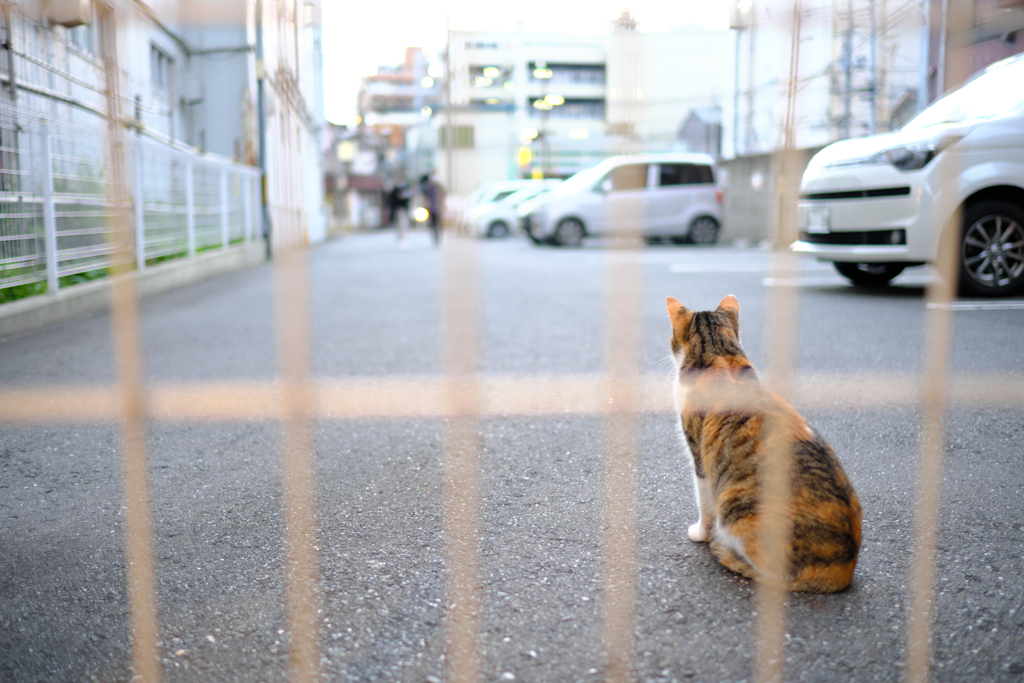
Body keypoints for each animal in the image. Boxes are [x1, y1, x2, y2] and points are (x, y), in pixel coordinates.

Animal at [667, 294, 860, 593]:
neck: (721, 354)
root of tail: (843, 569)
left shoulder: (699, 456)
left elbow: (704, 502)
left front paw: (700, 533)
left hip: (736, 508)